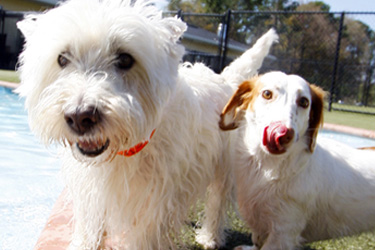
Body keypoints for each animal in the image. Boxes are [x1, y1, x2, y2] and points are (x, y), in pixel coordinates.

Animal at [15, 0, 280, 248]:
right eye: (62, 59)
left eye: (125, 59)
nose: (80, 117)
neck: (124, 152)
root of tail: (225, 79)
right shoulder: (92, 193)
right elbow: (91, 226)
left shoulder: (155, 203)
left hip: (225, 167)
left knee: (218, 200)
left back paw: (210, 237)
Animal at [220, 71, 375, 250]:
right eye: (267, 93)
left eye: (304, 102)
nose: (284, 134)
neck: (266, 168)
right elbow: (257, 239)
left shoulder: (284, 231)